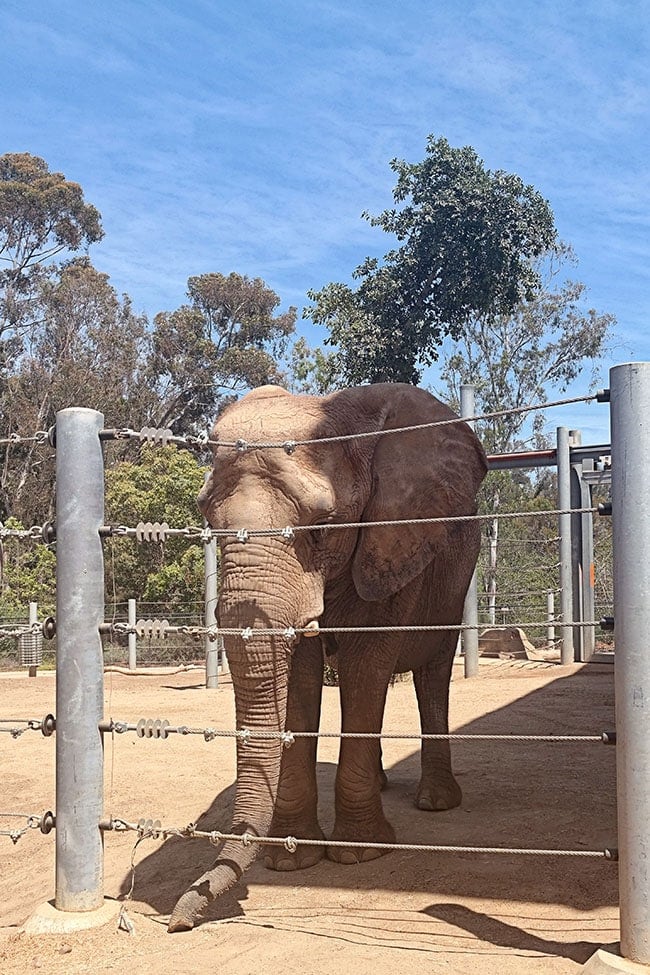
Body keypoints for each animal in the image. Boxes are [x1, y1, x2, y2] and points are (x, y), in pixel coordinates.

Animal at [168, 380, 486, 932]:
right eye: (208, 520)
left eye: (321, 525)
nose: (178, 921)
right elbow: (299, 675)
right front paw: (291, 860)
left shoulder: (392, 536)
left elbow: (365, 662)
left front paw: (359, 854)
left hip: (454, 577)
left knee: (432, 672)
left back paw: (436, 803)